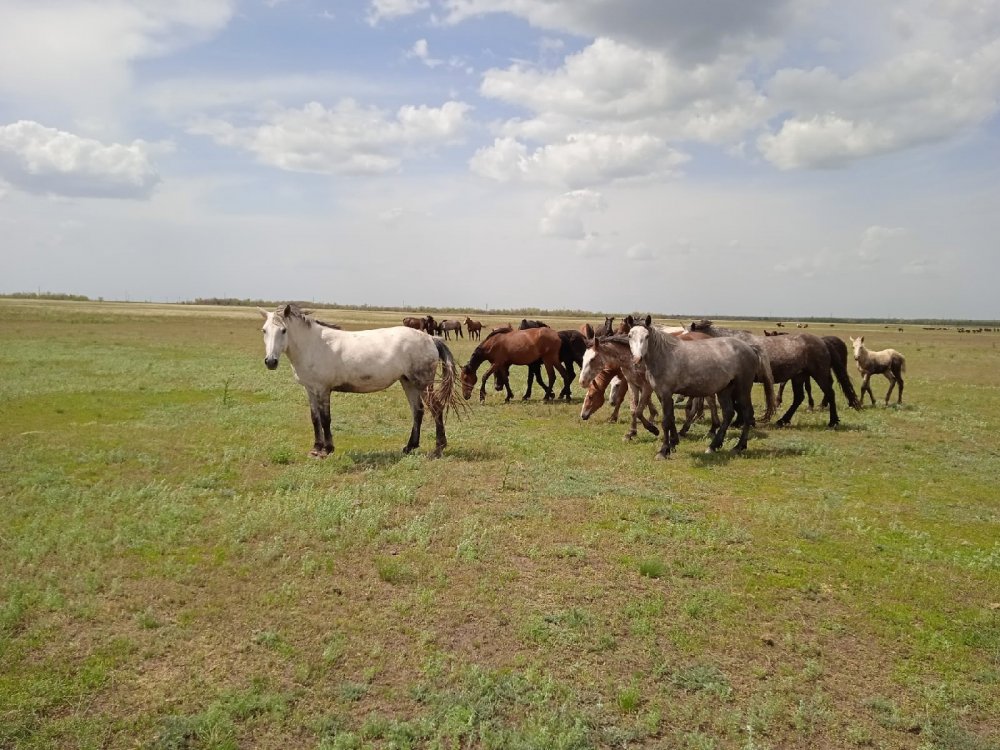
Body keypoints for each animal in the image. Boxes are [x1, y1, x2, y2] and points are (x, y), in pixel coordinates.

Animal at [258, 304, 461, 458]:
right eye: (264, 330)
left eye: (283, 330)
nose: (271, 361)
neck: (313, 345)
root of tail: (431, 338)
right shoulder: (310, 389)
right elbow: (315, 418)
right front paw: (316, 449)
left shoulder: (323, 389)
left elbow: (325, 418)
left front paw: (327, 450)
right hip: (408, 382)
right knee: (417, 411)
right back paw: (409, 447)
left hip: (422, 383)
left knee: (436, 408)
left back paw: (438, 448)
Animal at [629, 322, 760, 456]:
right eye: (629, 335)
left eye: (647, 336)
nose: (637, 359)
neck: (664, 355)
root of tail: (750, 349)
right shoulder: (662, 394)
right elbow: (670, 418)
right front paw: (673, 443)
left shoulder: (665, 394)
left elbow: (666, 422)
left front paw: (664, 450)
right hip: (724, 390)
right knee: (728, 413)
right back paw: (713, 446)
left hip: (743, 390)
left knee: (747, 414)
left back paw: (739, 446)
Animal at [690, 321, 858, 427]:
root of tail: (823, 342)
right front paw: (746, 421)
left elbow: (738, 403)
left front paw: (742, 422)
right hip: (799, 376)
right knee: (799, 398)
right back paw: (783, 420)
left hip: (819, 374)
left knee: (830, 393)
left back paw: (833, 421)